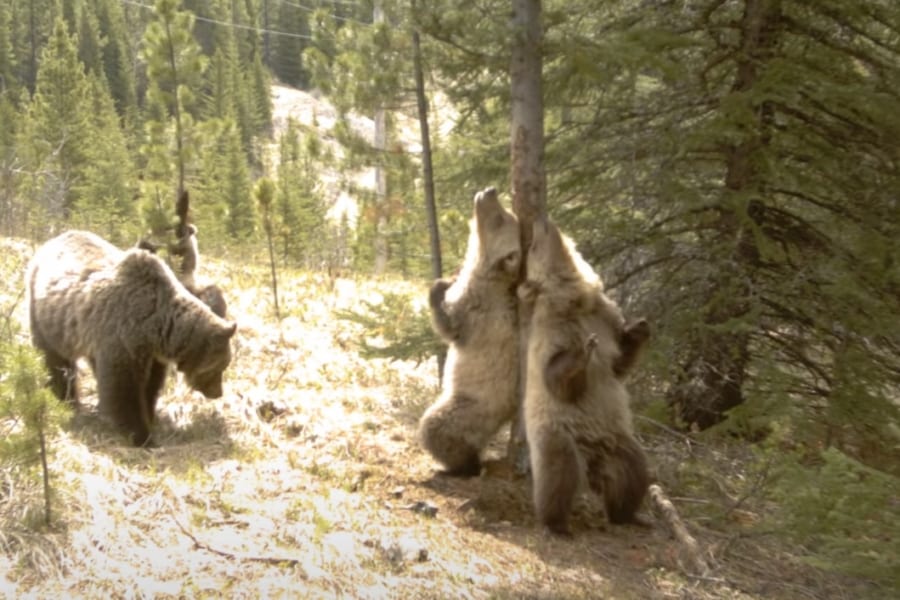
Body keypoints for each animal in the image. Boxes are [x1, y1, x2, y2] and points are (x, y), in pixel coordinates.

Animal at [27, 230, 237, 446]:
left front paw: (150, 416)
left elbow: (149, 386)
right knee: (55, 360)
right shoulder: (122, 336)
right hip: (46, 315)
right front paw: (142, 436)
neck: (157, 328)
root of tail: (55, 239)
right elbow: (123, 389)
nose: (217, 392)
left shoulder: (152, 354)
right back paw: (66, 401)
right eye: (220, 367)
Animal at [416, 188, 520, 478]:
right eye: (509, 212)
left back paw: (461, 465)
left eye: (501, 218)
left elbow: (449, 327)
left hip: (470, 407)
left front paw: (439, 286)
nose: (490, 191)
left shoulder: (476, 310)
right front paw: (449, 276)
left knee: (436, 426)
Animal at [516, 217, 652, 536]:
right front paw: (583, 351)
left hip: (618, 442)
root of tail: (593, 461)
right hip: (558, 436)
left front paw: (640, 327)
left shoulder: (605, 318)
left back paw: (632, 516)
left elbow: (619, 362)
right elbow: (556, 376)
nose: (541, 221)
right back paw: (556, 524)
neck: (576, 302)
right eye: (533, 247)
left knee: (635, 471)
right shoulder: (551, 333)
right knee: (559, 476)